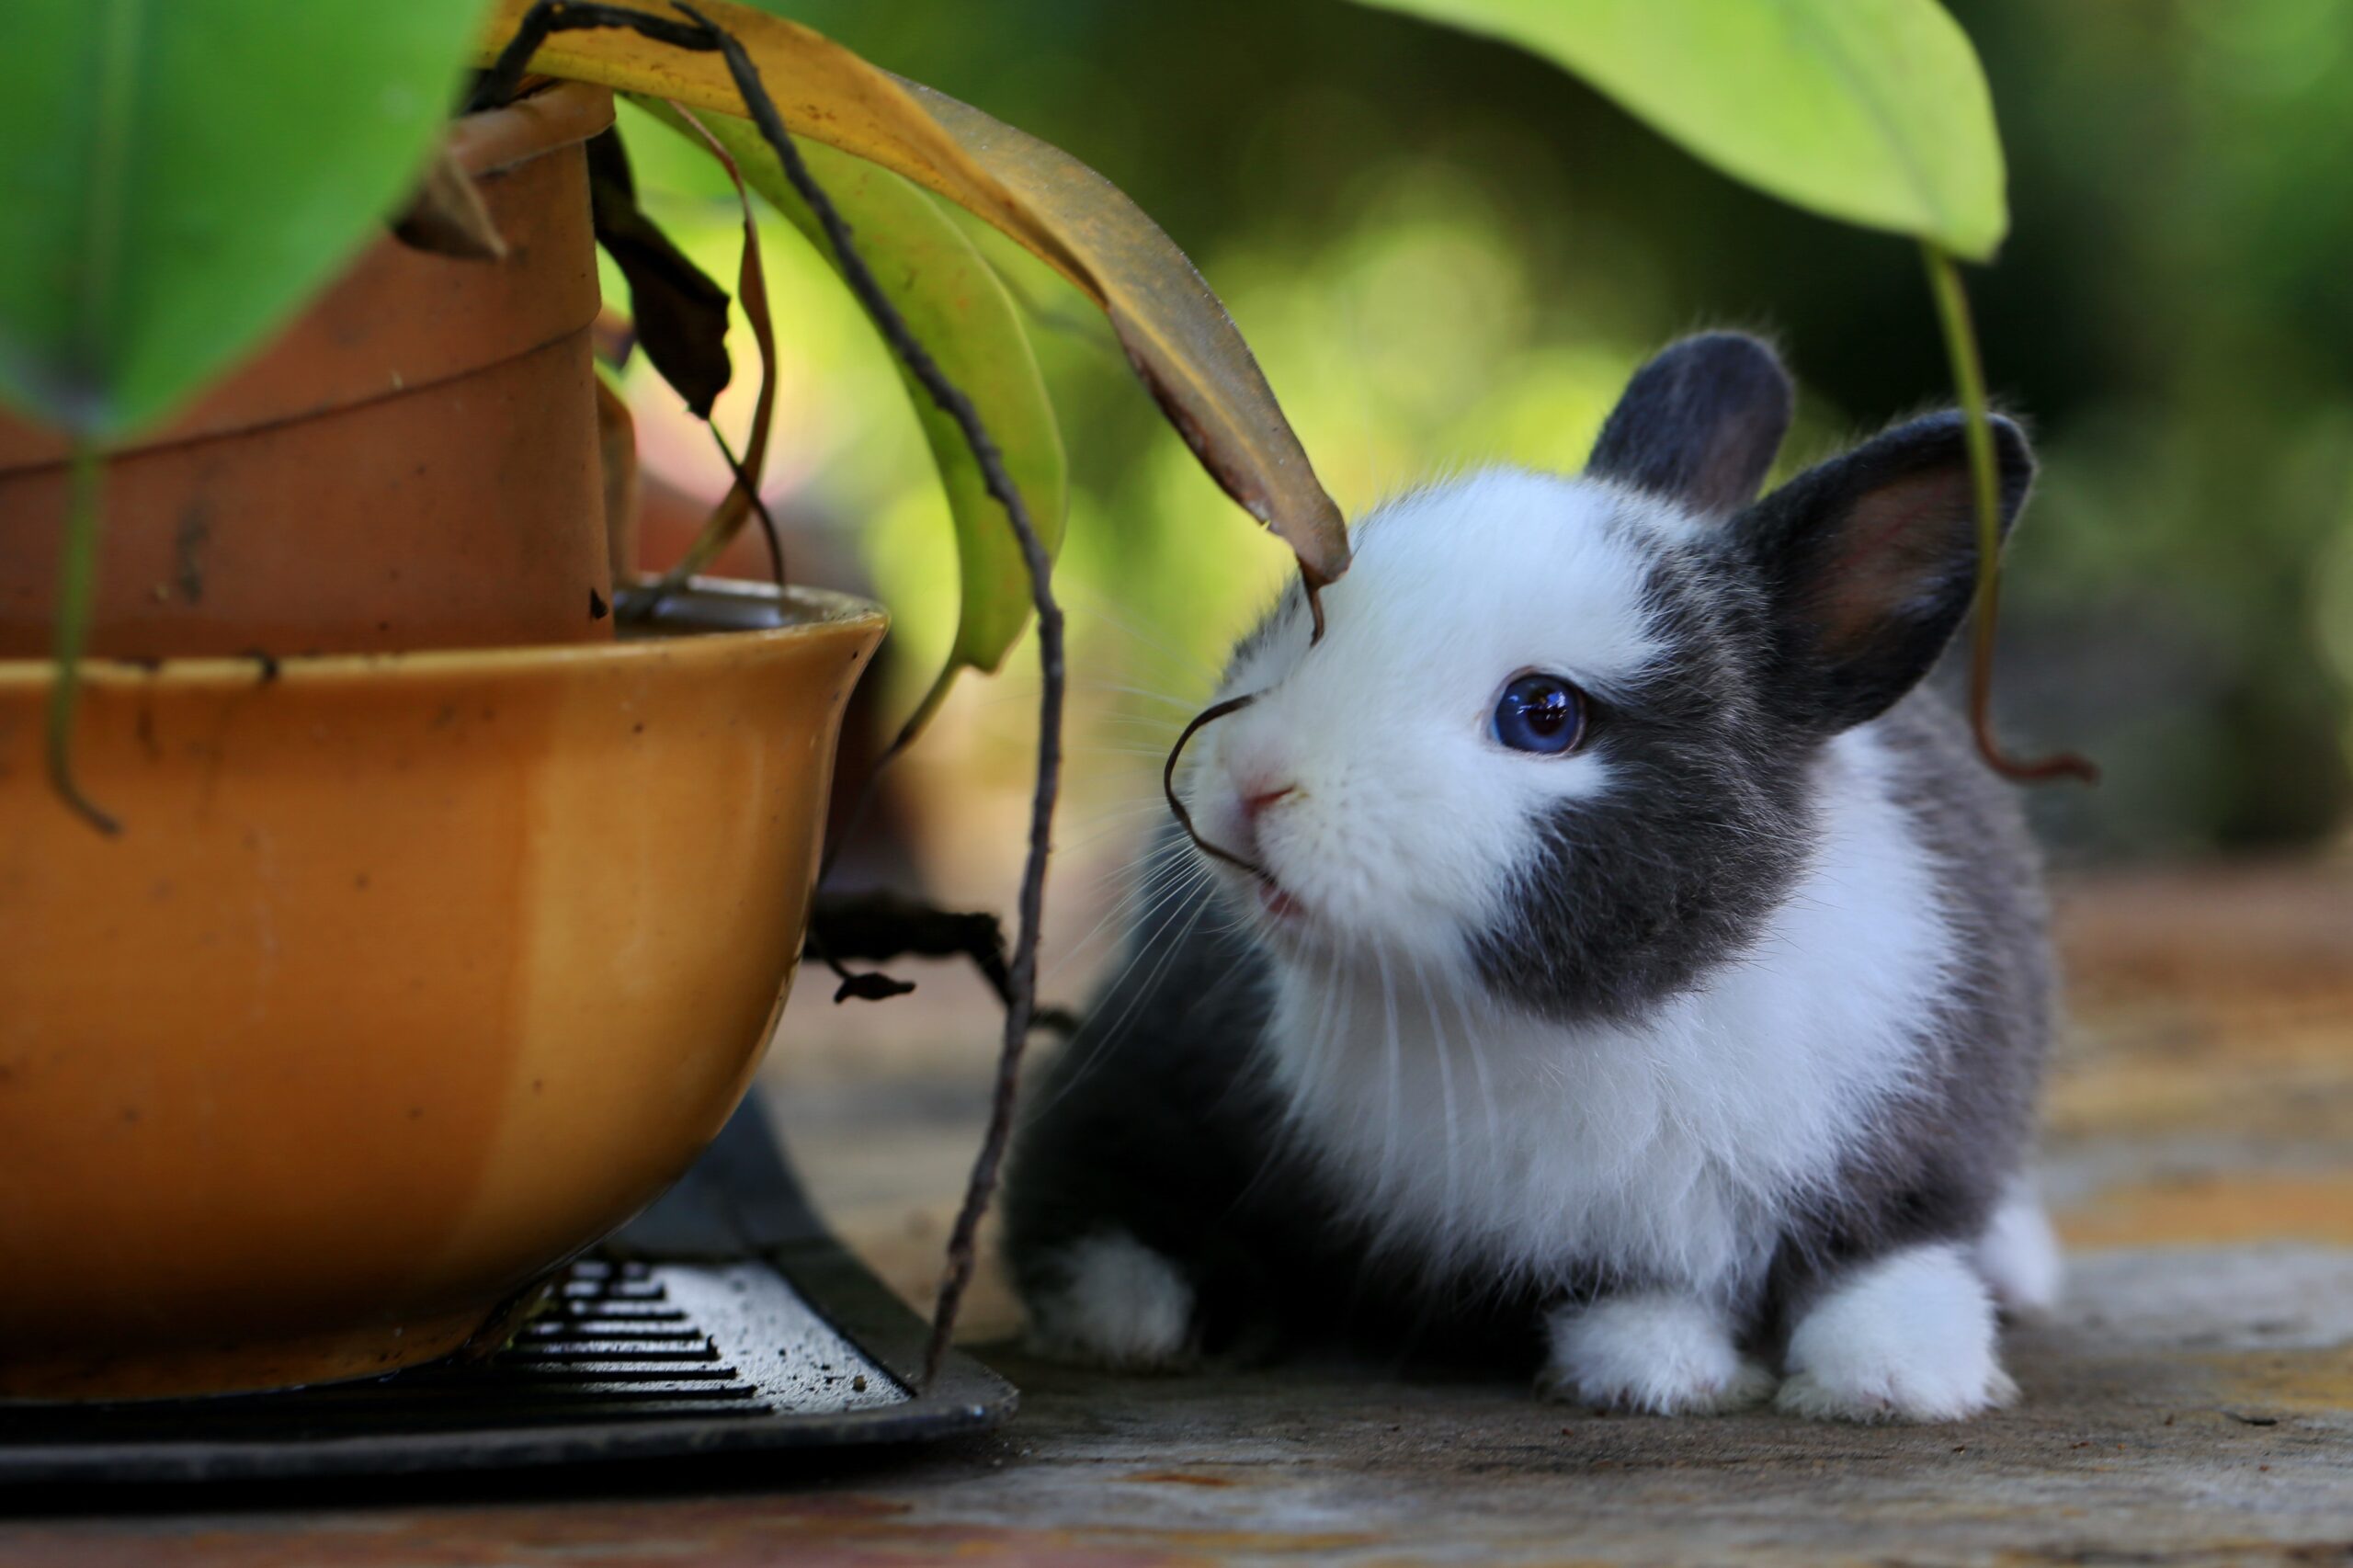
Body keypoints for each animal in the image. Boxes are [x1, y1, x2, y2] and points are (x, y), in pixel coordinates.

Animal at [1003, 333, 2062, 1423]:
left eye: (1544, 715)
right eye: (1306, 608)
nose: (1253, 778)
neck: (1610, 1018)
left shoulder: (1924, 1139)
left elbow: (1888, 1262)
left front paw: (1895, 1381)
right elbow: (1622, 1292)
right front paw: (1664, 1374)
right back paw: (1133, 1316)